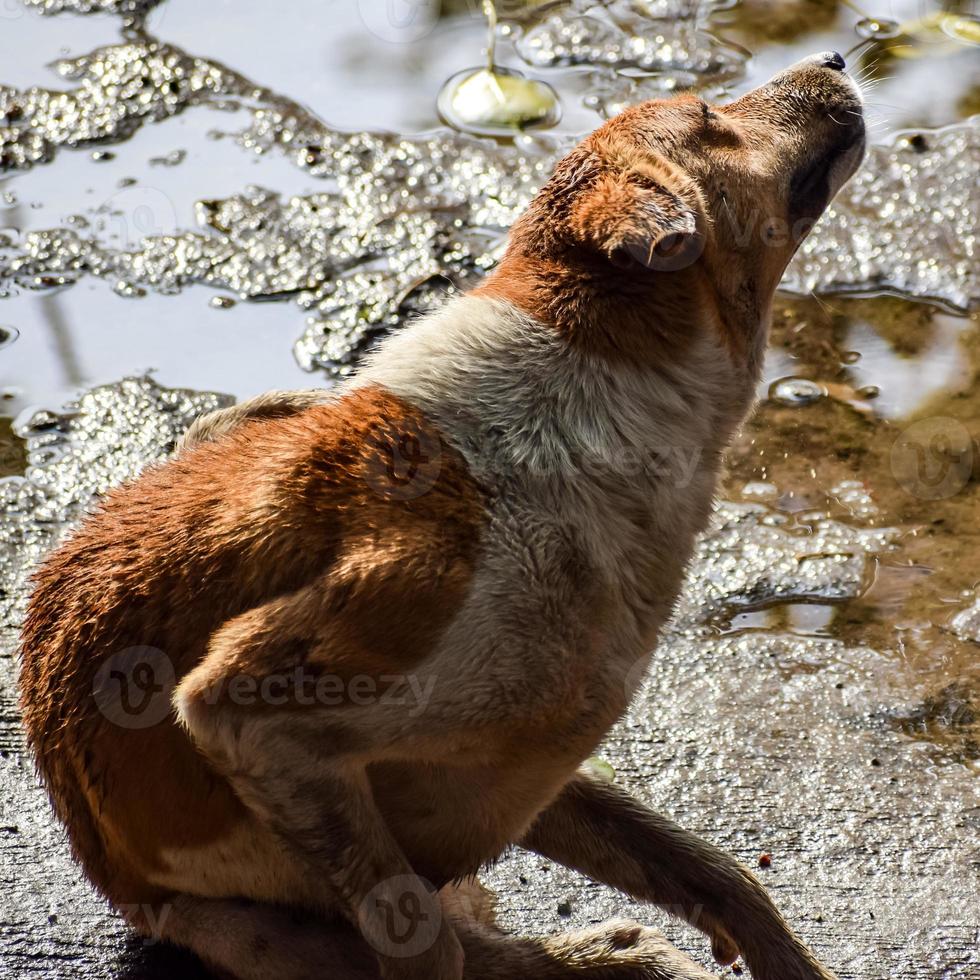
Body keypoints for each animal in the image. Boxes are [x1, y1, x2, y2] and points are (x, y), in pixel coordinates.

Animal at [19, 51, 864, 980]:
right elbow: (420, 937)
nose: (834, 56)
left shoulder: (534, 763)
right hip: (253, 923)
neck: (582, 409)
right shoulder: (257, 706)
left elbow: (716, 871)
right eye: (711, 117)